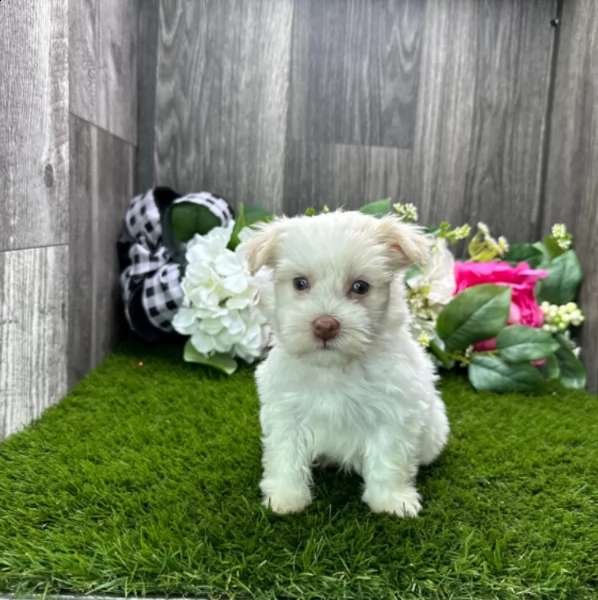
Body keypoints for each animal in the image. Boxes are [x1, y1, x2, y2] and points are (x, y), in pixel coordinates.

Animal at [245, 211, 450, 516]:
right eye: (300, 283)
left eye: (360, 287)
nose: (325, 325)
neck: (334, 368)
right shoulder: (285, 411)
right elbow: (285, 454)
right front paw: (286, 497)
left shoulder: (395, 412)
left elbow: (389, 458)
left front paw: (391, 501)